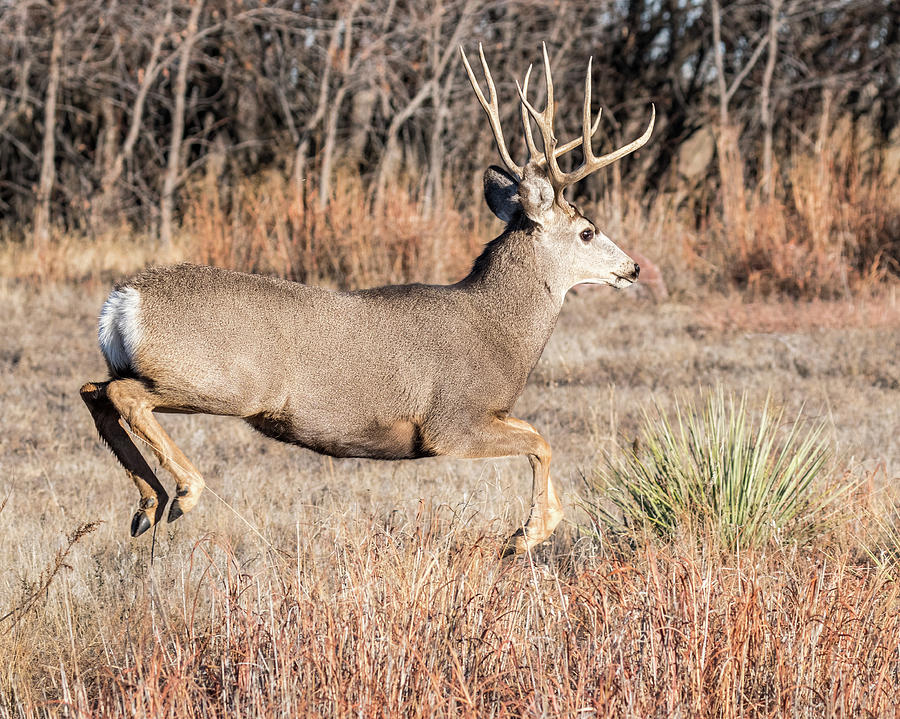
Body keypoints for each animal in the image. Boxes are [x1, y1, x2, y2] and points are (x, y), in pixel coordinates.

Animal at [79, 42, 652, 556]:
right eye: (586, 231)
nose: (632, 268)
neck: (497, 330)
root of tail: (124, 300)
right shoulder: (452, 421)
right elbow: (541, 440)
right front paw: (524, 535)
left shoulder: (484, 415)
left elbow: (537, 434)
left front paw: (532, 530)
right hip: (221, 381)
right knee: (124, 395)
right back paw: (182, 494)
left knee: (95, 390)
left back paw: (147, 506)